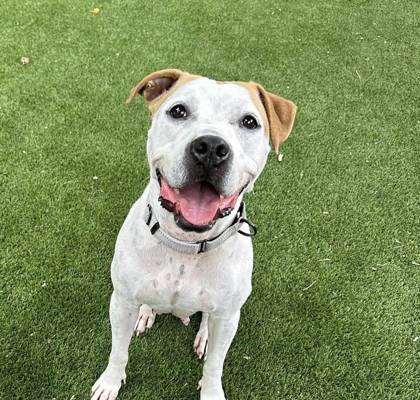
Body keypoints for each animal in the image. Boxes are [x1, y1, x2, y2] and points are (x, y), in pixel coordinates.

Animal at [91, 69, 296, 400]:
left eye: (249, 122)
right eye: (178, 111)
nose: (211, 147)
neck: (186, 245)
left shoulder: (229, 316)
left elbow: (215, 365)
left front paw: (211, 391)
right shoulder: (120, 301)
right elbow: (118, 351)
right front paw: (110, 382)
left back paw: (204, 334)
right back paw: (146, 312)